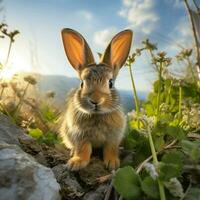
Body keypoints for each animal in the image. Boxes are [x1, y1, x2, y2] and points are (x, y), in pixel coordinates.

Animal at [59, 28, 133, 171]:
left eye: (110, 83)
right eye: (82, 83)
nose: (95, 100)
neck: (97, 115)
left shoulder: (113, 137)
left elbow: (110, 149)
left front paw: (113, 163)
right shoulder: (80, 136)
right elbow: (84, 149)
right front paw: (76, 163)